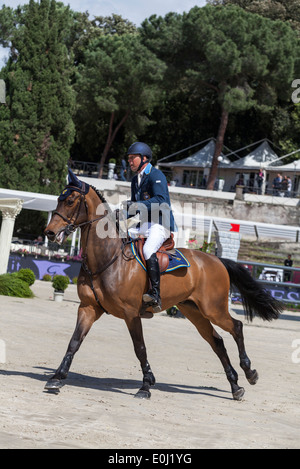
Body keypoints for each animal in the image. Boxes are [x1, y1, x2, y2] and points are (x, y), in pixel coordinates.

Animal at [43, 170, 282, 400]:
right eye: (58, 199)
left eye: (70, 201)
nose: (50, 232)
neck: (107, 258)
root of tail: (216, 260)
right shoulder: (88, 308)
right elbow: (74, 342)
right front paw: (57, 377)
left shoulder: (131, 313)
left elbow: (140, 348)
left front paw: (146, 385)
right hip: (194, 311)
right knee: (217, 342)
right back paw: (235, 387)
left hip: (213, 309)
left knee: (237, 327)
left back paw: (249, 372)